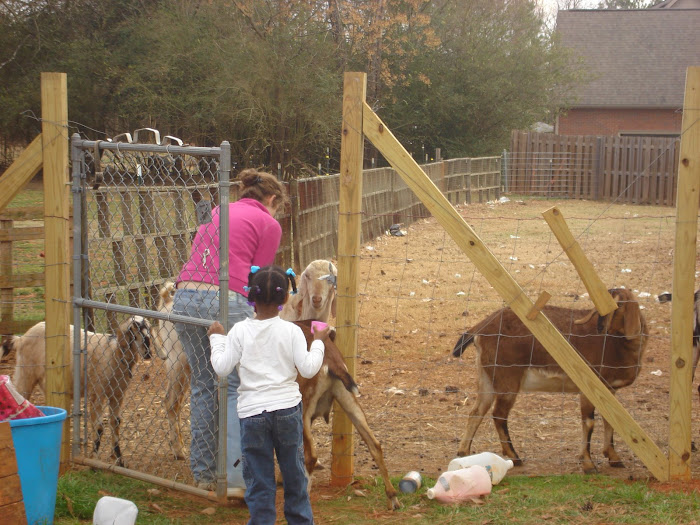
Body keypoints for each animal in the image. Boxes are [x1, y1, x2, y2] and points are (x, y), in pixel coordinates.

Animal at [1, 314, 152, 464]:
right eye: (134, 332)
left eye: (148, 333)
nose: (148, 353)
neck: (113, 353)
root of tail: (20, 339)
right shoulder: (97, 392)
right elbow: (99, 426)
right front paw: (94, 459)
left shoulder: (118, 394)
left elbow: (116, 423)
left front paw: (119, 459)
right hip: (25, 373)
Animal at [292, 318, 400, 510]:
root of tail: (330, 361)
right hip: (346, 397)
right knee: (375, 444)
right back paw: (392, 497)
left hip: (304, 407)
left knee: (310, 456)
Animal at [452, 288, 648, 472]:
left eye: (619, 305)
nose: (600, 328)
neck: (618, 345)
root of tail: (480, 329)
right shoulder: (589, 387)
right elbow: (589, 422)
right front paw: (588, 464)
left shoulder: (610, 390)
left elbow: (611, 421)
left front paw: (614, 457)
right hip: (507, 378)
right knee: (499, 414)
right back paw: (514, 456)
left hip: (487, 376)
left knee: (477, 411)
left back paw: (464, 452)